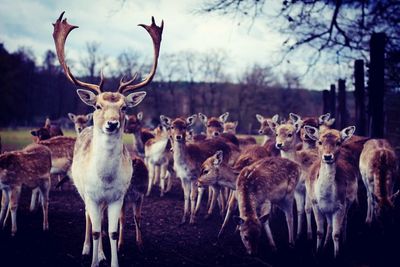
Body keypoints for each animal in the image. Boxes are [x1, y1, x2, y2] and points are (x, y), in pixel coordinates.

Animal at [52, 12, 162, 267]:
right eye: (98, 106)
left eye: (124, 107)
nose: (112, 123)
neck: (105, 179)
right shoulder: (91, 194)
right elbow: (94, 230)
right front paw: (93, 259)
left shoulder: (117, 196)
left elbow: (111, 231)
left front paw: (110, 260)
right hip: (81, 190)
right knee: (88, 218)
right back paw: (86, 249)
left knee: (100, 221)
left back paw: (101, 252)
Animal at [304, 124, 358, 258]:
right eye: (319, 142)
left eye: (338, 142)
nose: (328, 156)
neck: (326, 197)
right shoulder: (315, 204)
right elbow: (319, 231)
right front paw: (318, 251)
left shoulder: (341, 205)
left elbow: (336, 234)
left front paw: (336, 255)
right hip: (327, 211)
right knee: (329, 225)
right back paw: (325, 245)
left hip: (349, 201)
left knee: (344, 221)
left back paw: (344, 241)